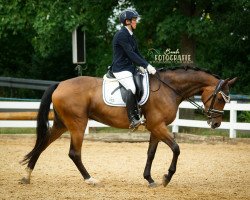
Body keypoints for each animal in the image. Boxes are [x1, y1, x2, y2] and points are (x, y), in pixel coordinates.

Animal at [21, 66, 236, 187]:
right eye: (220, 99)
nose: (216, 123)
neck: (169, 88)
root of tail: (59, 84)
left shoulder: (156, 128)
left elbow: (151, 153)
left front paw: (150, 179)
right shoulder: (158, 126)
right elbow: (176, 148)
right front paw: (166, 177)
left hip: (61, 124)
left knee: (42, 144)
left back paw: (27, 176)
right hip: (77, 124)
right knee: (74, 153)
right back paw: (90, 179)